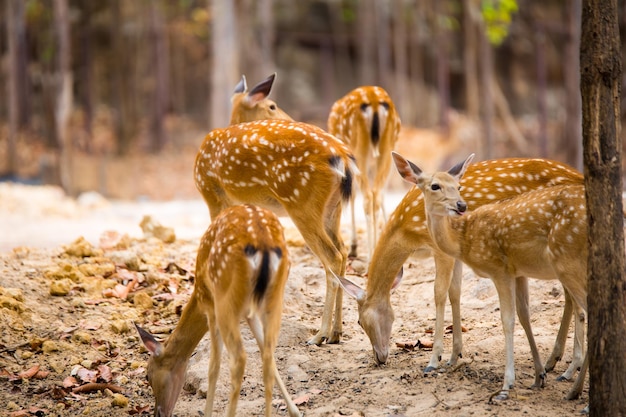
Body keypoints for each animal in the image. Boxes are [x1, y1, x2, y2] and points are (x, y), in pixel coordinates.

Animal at [136, 205, 300, 416]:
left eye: (147, 375)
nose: (158, 413)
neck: (197, 296)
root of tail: (263, 244)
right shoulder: (249, 314)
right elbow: (266, 353)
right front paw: (295, 410)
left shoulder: (210, 307)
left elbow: (213, 367)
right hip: (273, 299)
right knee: (268, 355)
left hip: (224, 300)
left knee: (238, 359)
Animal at [195, 118, 356, 344]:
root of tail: (342, 158)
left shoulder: (214, 196)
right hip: (333, 208)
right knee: (342, 250)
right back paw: (335, 333)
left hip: (302, 204)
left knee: (333, 256)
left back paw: (320, 335)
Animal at [326, 86, 400, 258]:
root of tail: (374, 101)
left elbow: (352, 195)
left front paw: (353, 246)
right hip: (386, 150)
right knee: (377, 195)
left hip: (358, 150)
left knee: (366, 197)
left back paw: (368, 255)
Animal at [338, 154, 584, 382]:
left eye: (359, 321)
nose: (379, 357)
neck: (408, 235)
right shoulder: (455, 253)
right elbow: (455, 293)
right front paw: (454, 356)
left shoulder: (440, 250)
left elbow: (439, 293)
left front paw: (434, 360)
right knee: (570, 296)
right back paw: (554, 361)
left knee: (573, 297)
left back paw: (569, 367)